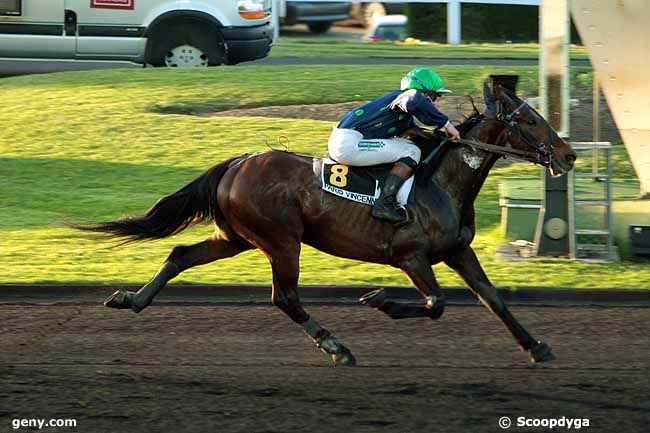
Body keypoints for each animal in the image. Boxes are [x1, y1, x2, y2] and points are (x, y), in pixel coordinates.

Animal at [79, 80, 572, 364]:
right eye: (531, 120)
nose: (568, 155)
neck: (441, 182)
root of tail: (238, 163)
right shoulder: (411, 257)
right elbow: (435, 304)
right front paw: (380, 300)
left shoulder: (456, 250)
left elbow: (492, 297)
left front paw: (537, 346)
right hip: (281, 241)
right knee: (284, 297)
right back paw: (337, 347)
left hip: (237, 237)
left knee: (181, 255)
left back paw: (131, 300)